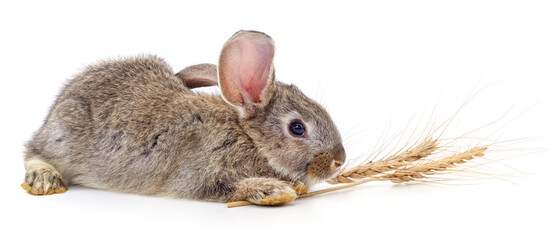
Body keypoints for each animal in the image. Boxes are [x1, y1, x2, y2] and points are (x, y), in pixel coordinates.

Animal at [20, 30, 346, 205]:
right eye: (297, 128)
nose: (339, 161)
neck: (250, 139)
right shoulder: (202, 176)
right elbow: (227, 187)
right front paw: (273, 190)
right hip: (64, 139)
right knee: (33, 152)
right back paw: (44, 179)